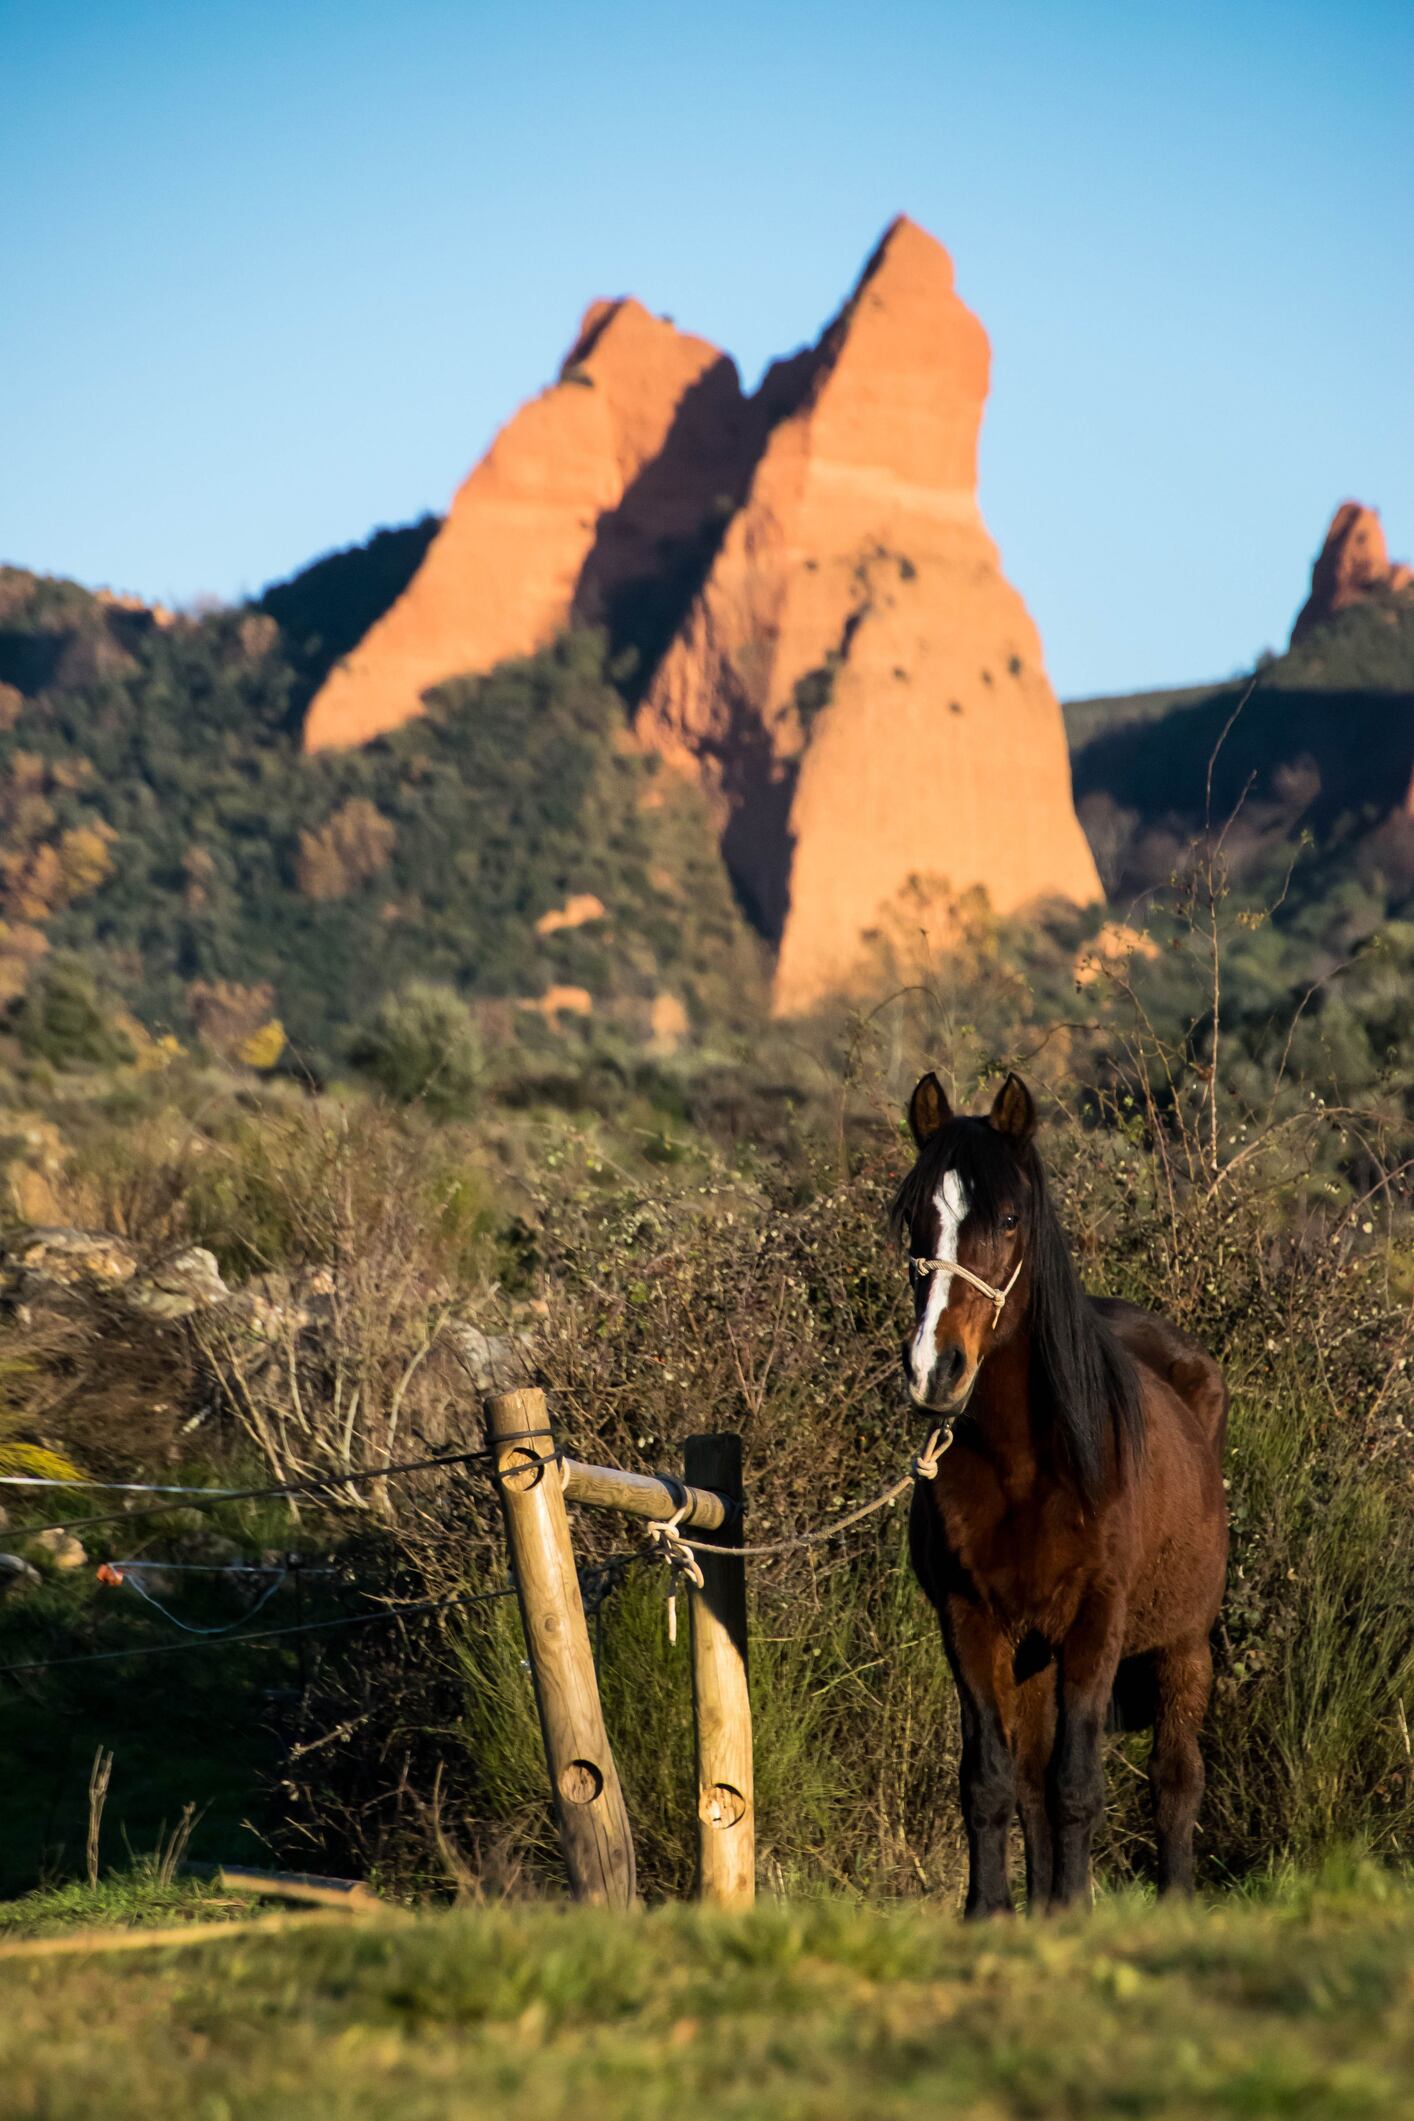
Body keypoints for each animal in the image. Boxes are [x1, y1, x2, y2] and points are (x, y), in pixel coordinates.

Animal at [894, 1070, 1228, 1915]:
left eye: (1009, 1218)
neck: (1027, 1461)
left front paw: (1074, 1908)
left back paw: (1173, 1901)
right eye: (915, 1218)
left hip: (1182, 1646)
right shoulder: (972, 1620)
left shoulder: (1096, 1619)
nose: (935, 1370)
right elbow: (994, 1778)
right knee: (1033, 1780)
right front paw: (991, 1911)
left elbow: (1077, 1780)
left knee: (1176, 1779)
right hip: (1035, 1653)